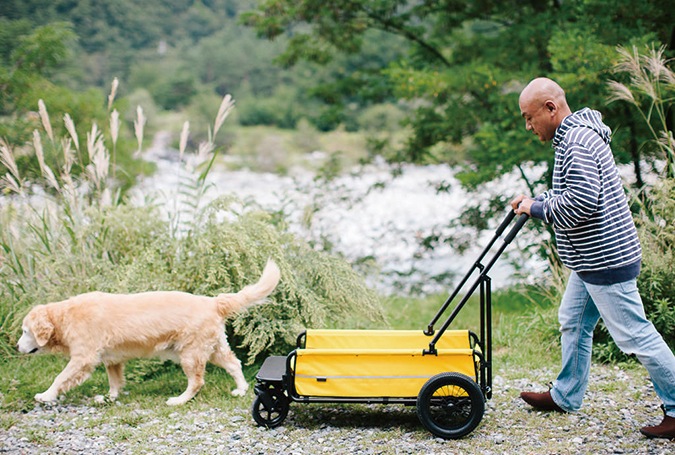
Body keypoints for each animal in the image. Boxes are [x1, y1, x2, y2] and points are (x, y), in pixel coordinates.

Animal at [16, 260, 280, 406]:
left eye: (25, 331)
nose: (17, 346)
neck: (63, 317)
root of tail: (212, 302)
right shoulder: (112, 360)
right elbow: (114, 381)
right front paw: (110, 398)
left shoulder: (83, 358)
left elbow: (60, 378)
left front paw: (46, 395)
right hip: (213, 347)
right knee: (234, 364)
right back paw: (241, 389)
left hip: (190, 354)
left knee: (197, 381)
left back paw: (179, 400)